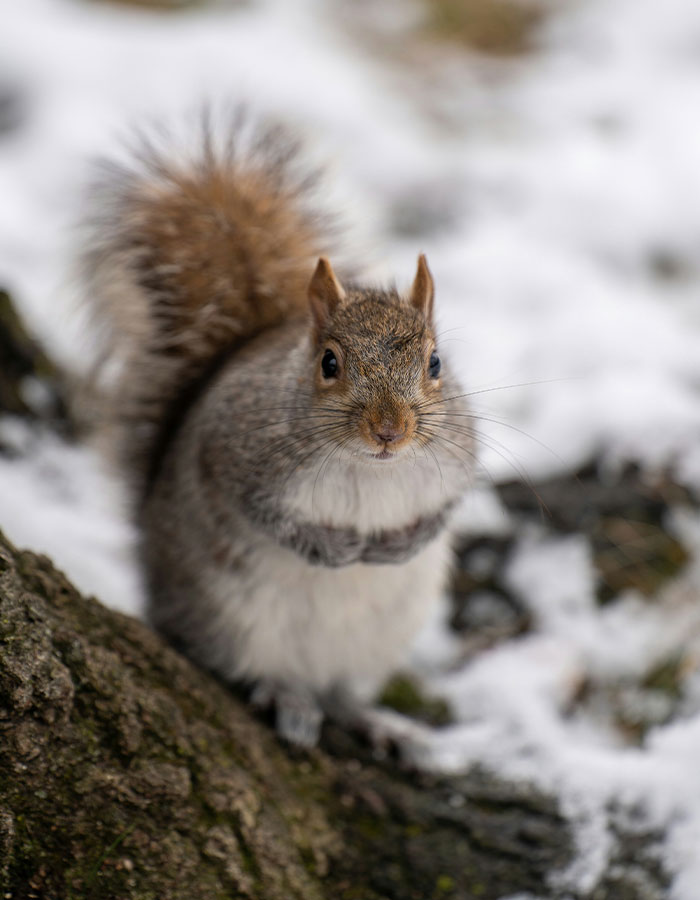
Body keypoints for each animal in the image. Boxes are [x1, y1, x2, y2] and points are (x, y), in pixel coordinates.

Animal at [82, 114, 473, 746]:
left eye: (436, 363)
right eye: (329, 363)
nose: (389, 431)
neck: (369, 468)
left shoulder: (461, 459)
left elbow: (447, 508)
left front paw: (399, 545)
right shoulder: (237, 454)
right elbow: (268, 517)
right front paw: (337, 549)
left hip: (376, 642)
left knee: (341, 688)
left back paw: (368, 719)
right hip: (229, 617)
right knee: (249, 668)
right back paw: (287, 696)